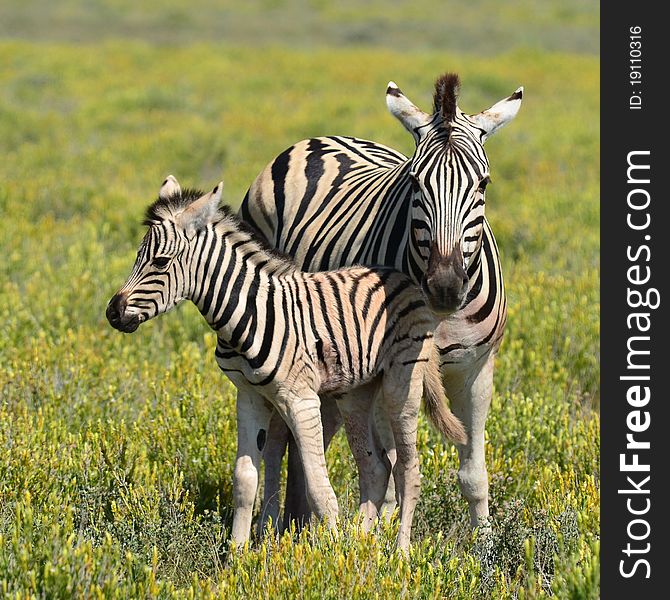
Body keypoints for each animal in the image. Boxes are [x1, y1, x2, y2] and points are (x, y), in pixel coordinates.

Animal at [109, 176, 468, 552]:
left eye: (161, 262)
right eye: (138, 257)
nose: (113, 313)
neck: (247, 313)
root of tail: (404, 279)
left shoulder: (301, 399)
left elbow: (319, 488)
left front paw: (332, 556)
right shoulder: (249, 396)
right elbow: (245, 480)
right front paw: (238, 555)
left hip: (402, 384)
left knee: (407, 470)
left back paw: (399, 553)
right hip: (356, 392)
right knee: (375, 468)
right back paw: (359, 542)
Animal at [242, 74, 524, 528]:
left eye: (483, 184)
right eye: (415, 182)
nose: (445, 287)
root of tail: (319, 140)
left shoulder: (477, 368)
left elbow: (473, 474)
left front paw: (485, 543)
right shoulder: (387, 368)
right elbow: (389, 465)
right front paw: (377, 535)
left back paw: (298, 523)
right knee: (278, 441)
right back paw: (272, 525)